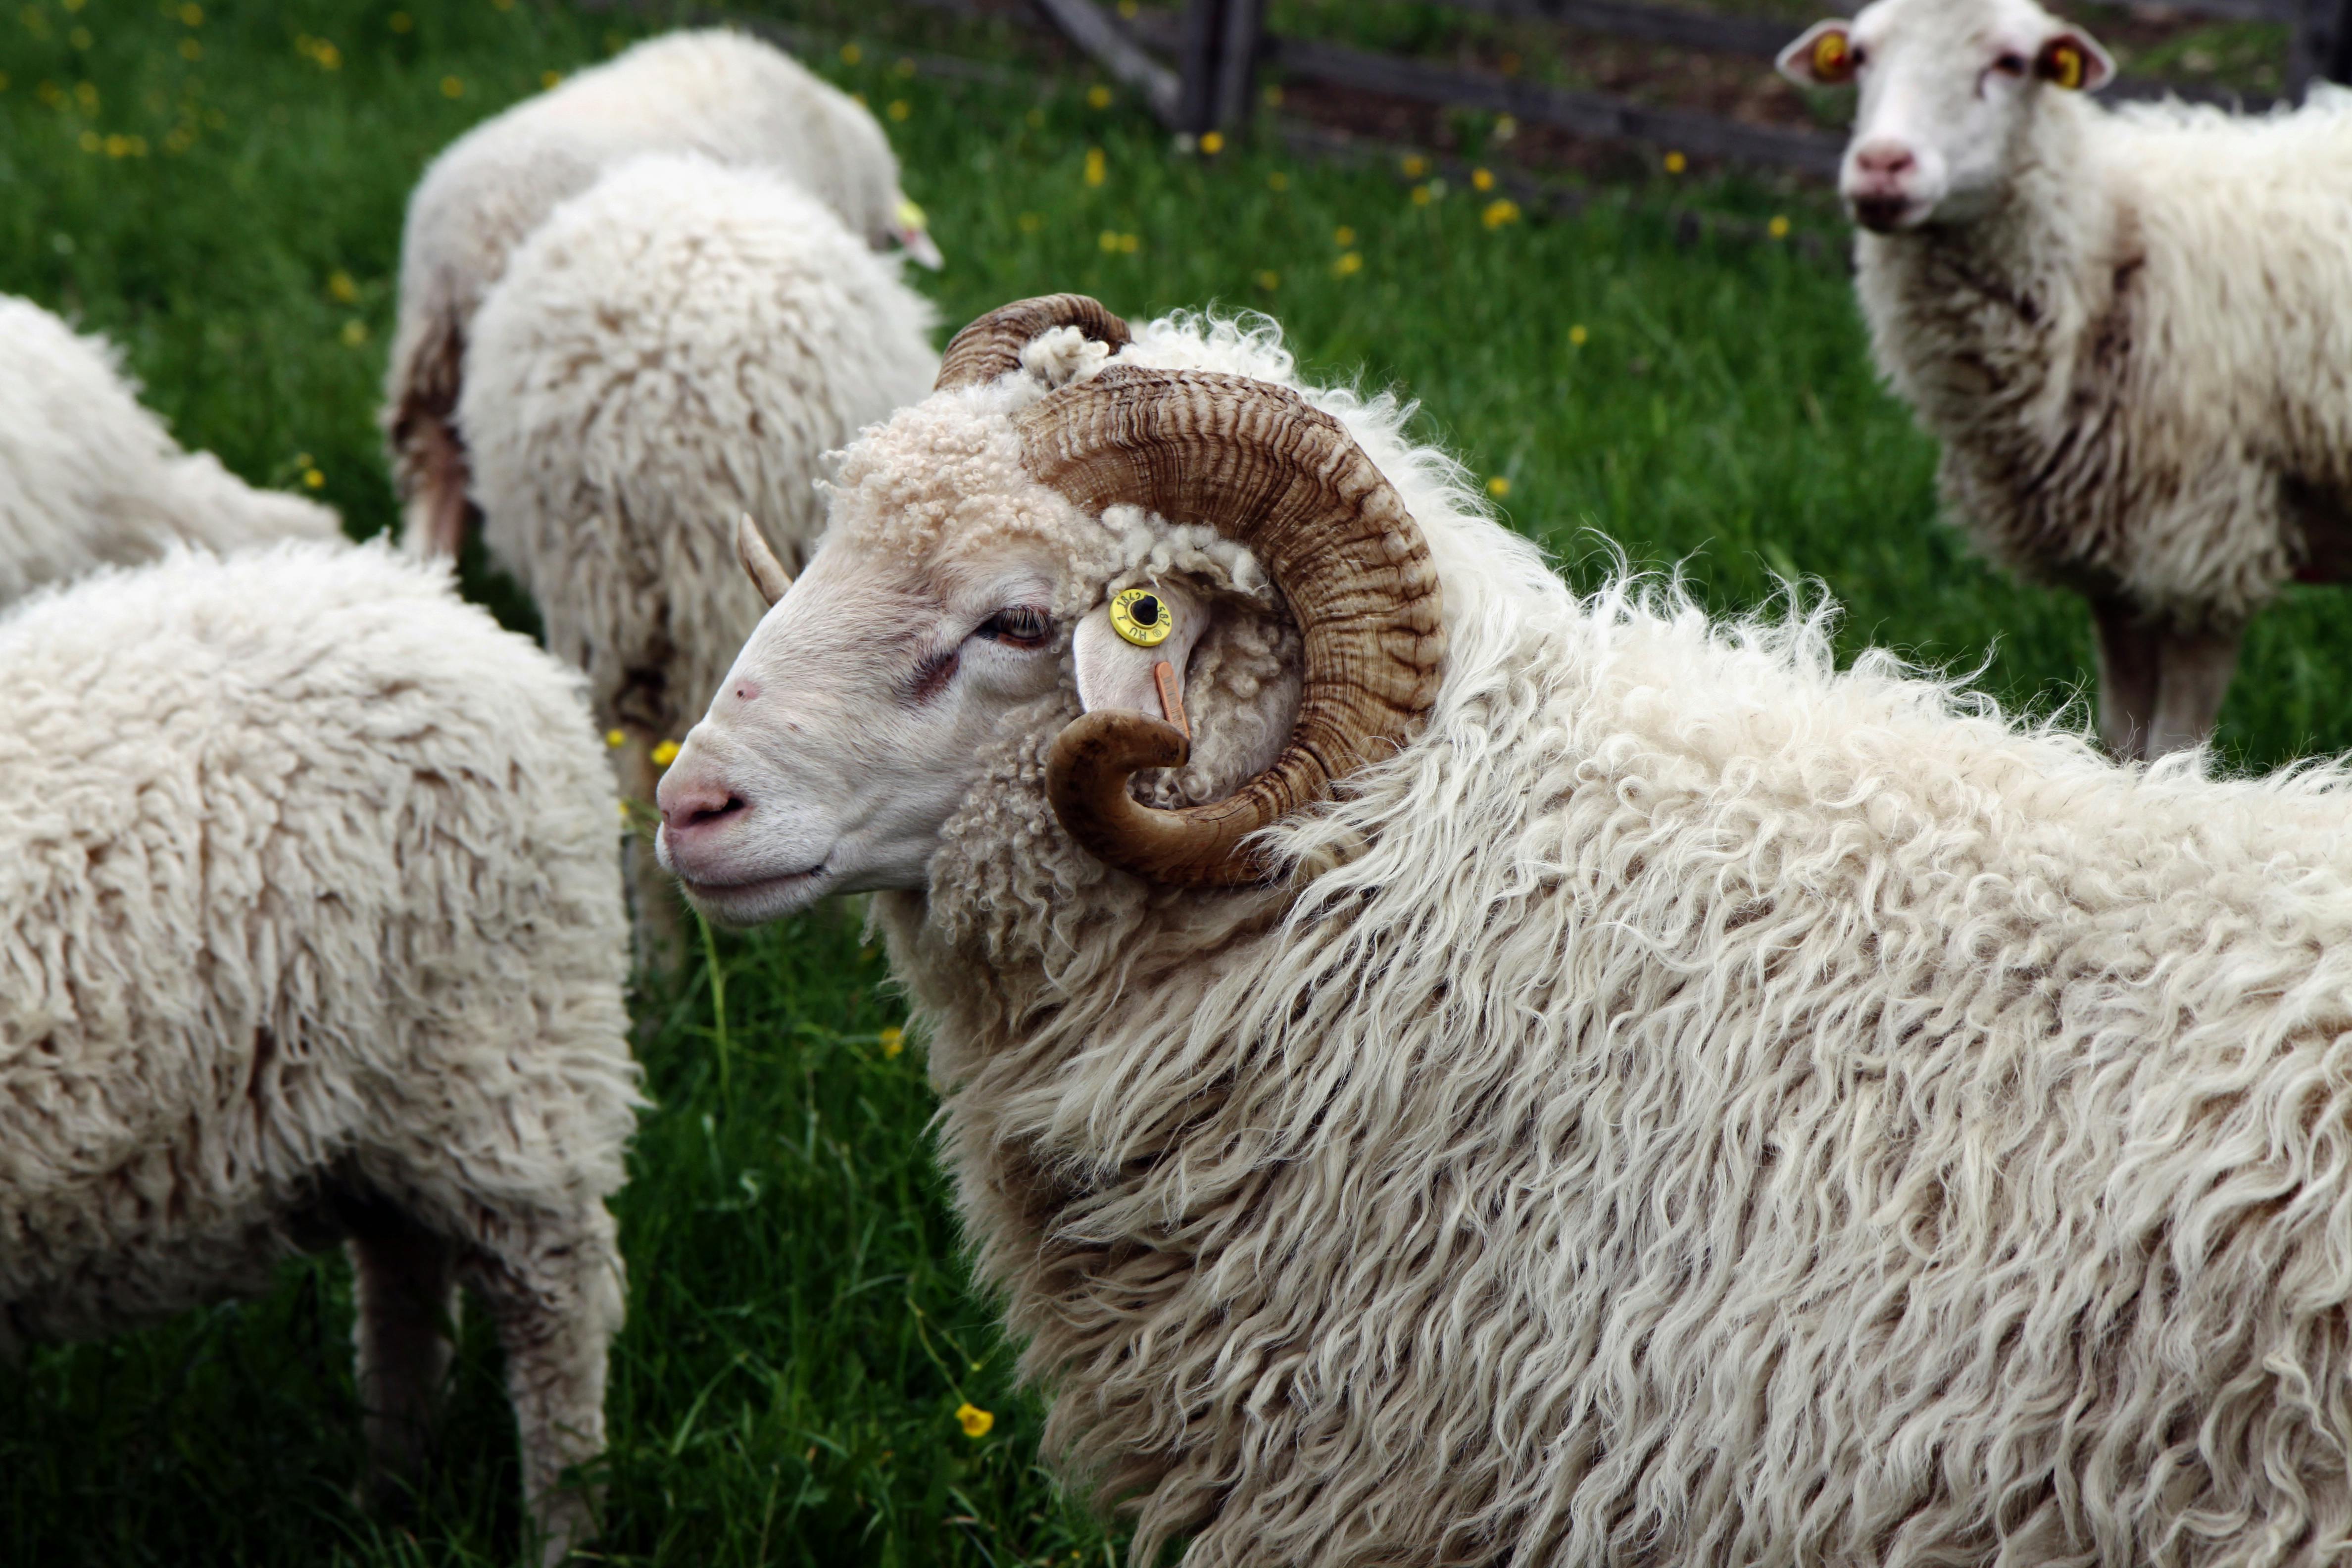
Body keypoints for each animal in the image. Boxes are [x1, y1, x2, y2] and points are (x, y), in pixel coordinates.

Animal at [0, 539, 639, 1567]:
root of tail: (454, 615)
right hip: (379, 1107)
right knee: (402, 1284)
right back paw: (388, 1495)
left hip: (505, 1057)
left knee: (555, 1302)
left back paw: (560, 1527)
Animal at [1776, 0, 2352, 761]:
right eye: (1861, 57)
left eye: (2012, 63)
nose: (1882, 166)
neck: (2108, 241)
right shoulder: (2114, 563)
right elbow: (2122, 737)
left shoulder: (2207, 549)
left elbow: (2174, 747)